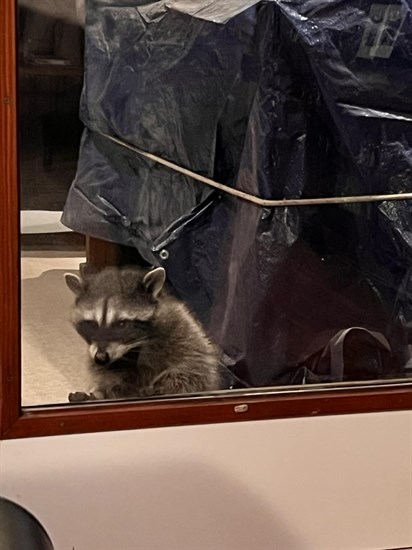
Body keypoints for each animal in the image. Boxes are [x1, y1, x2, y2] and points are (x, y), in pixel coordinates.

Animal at [65, 266, 222, 404]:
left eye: (121, 324)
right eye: (92, 324)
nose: (101, 358)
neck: (132, 350)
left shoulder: (183, 332)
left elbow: (193, 371)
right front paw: (98, 393)